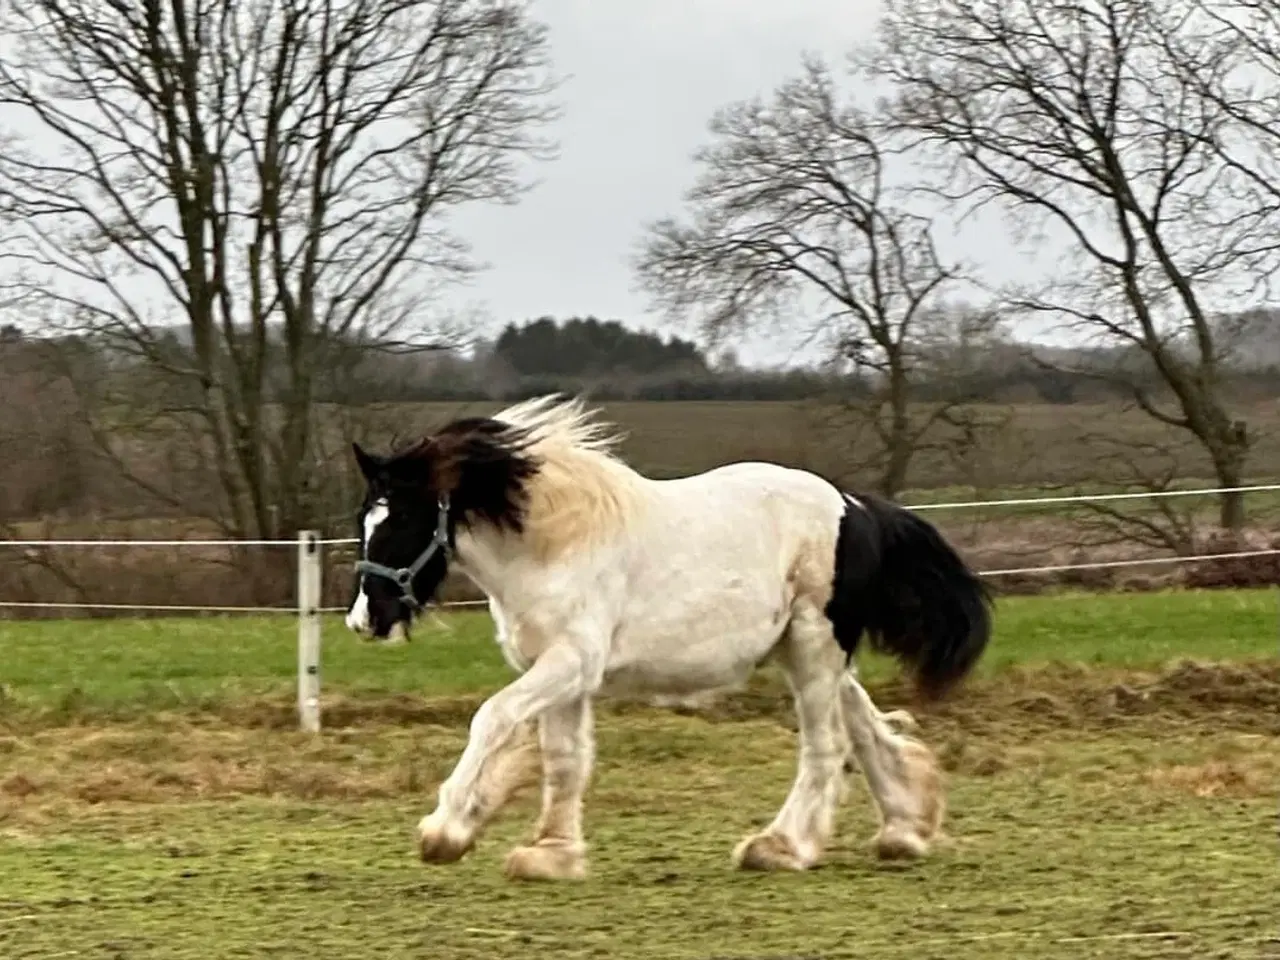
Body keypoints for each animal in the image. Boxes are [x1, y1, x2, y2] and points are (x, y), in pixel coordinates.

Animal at [345, 394, 993, 885]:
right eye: (365, 520)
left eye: (401, 520)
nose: (364, 619)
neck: (554, 542)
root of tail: (855, 506)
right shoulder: (560, 671)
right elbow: (564, 759)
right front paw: (551, 854)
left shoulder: (571, 661)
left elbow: (492, 717)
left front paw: (445, 830)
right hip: (804, 651)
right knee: (862, 726)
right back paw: (906, 828)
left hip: (814, 645)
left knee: (827, 744)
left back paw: (781, 847)